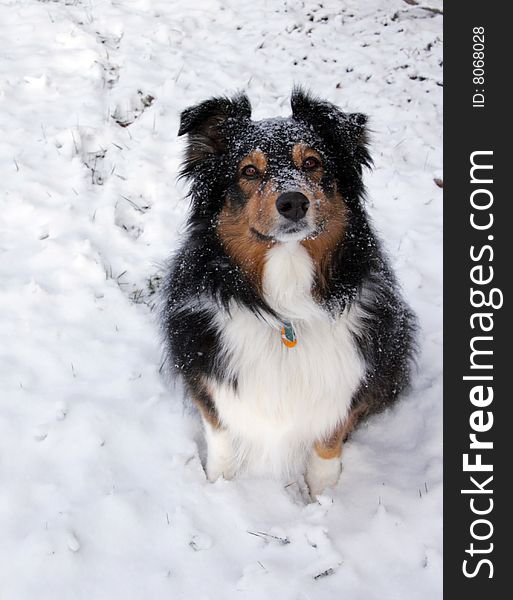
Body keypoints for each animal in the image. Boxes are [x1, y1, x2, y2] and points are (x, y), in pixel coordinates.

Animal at [160, 88, 416, 496]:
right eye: (249, 171)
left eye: (311, 163)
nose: (293, 202)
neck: (286, 303)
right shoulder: (206, 372)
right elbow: (221, 433)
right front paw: (219, 484)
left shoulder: (347, 383)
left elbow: (328, 441)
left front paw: (322, 495)